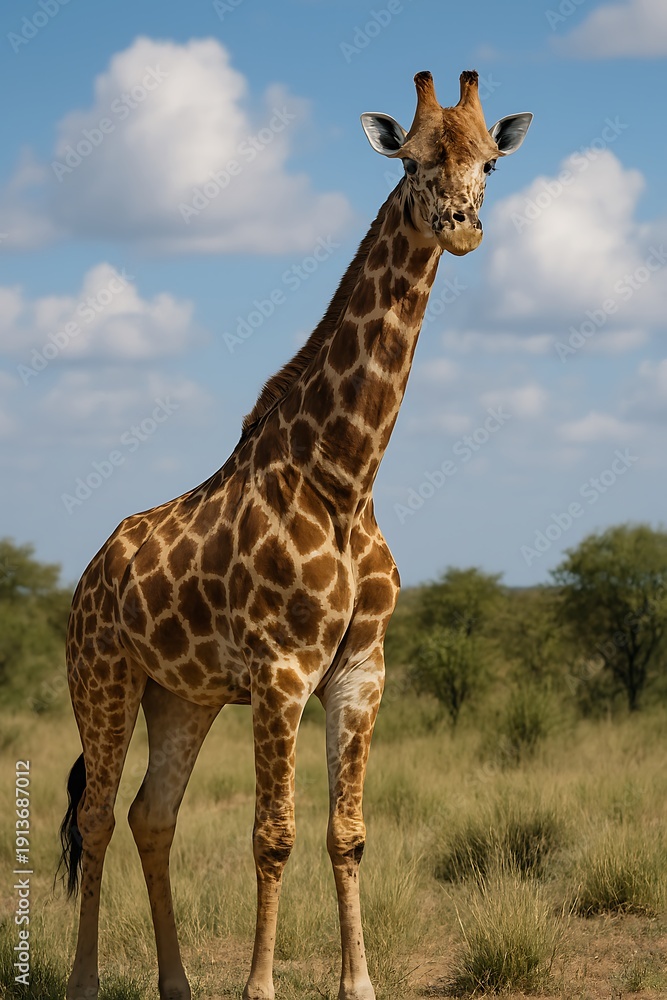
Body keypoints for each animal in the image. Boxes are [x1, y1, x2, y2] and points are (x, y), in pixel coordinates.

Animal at [58, 70, 532, 1000]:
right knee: (95, 816)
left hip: (184, 695)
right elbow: (271, 834)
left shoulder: (359, 668)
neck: (346, 479)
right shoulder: (281, 670)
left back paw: (177, 985)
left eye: (490, 162)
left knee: (150, 814)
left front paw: (358, 984)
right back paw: (87, 981)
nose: (461, 225)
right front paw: (260, 987)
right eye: (412, 159)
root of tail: (91, 574)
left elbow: (346, 832)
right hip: (104, 677)